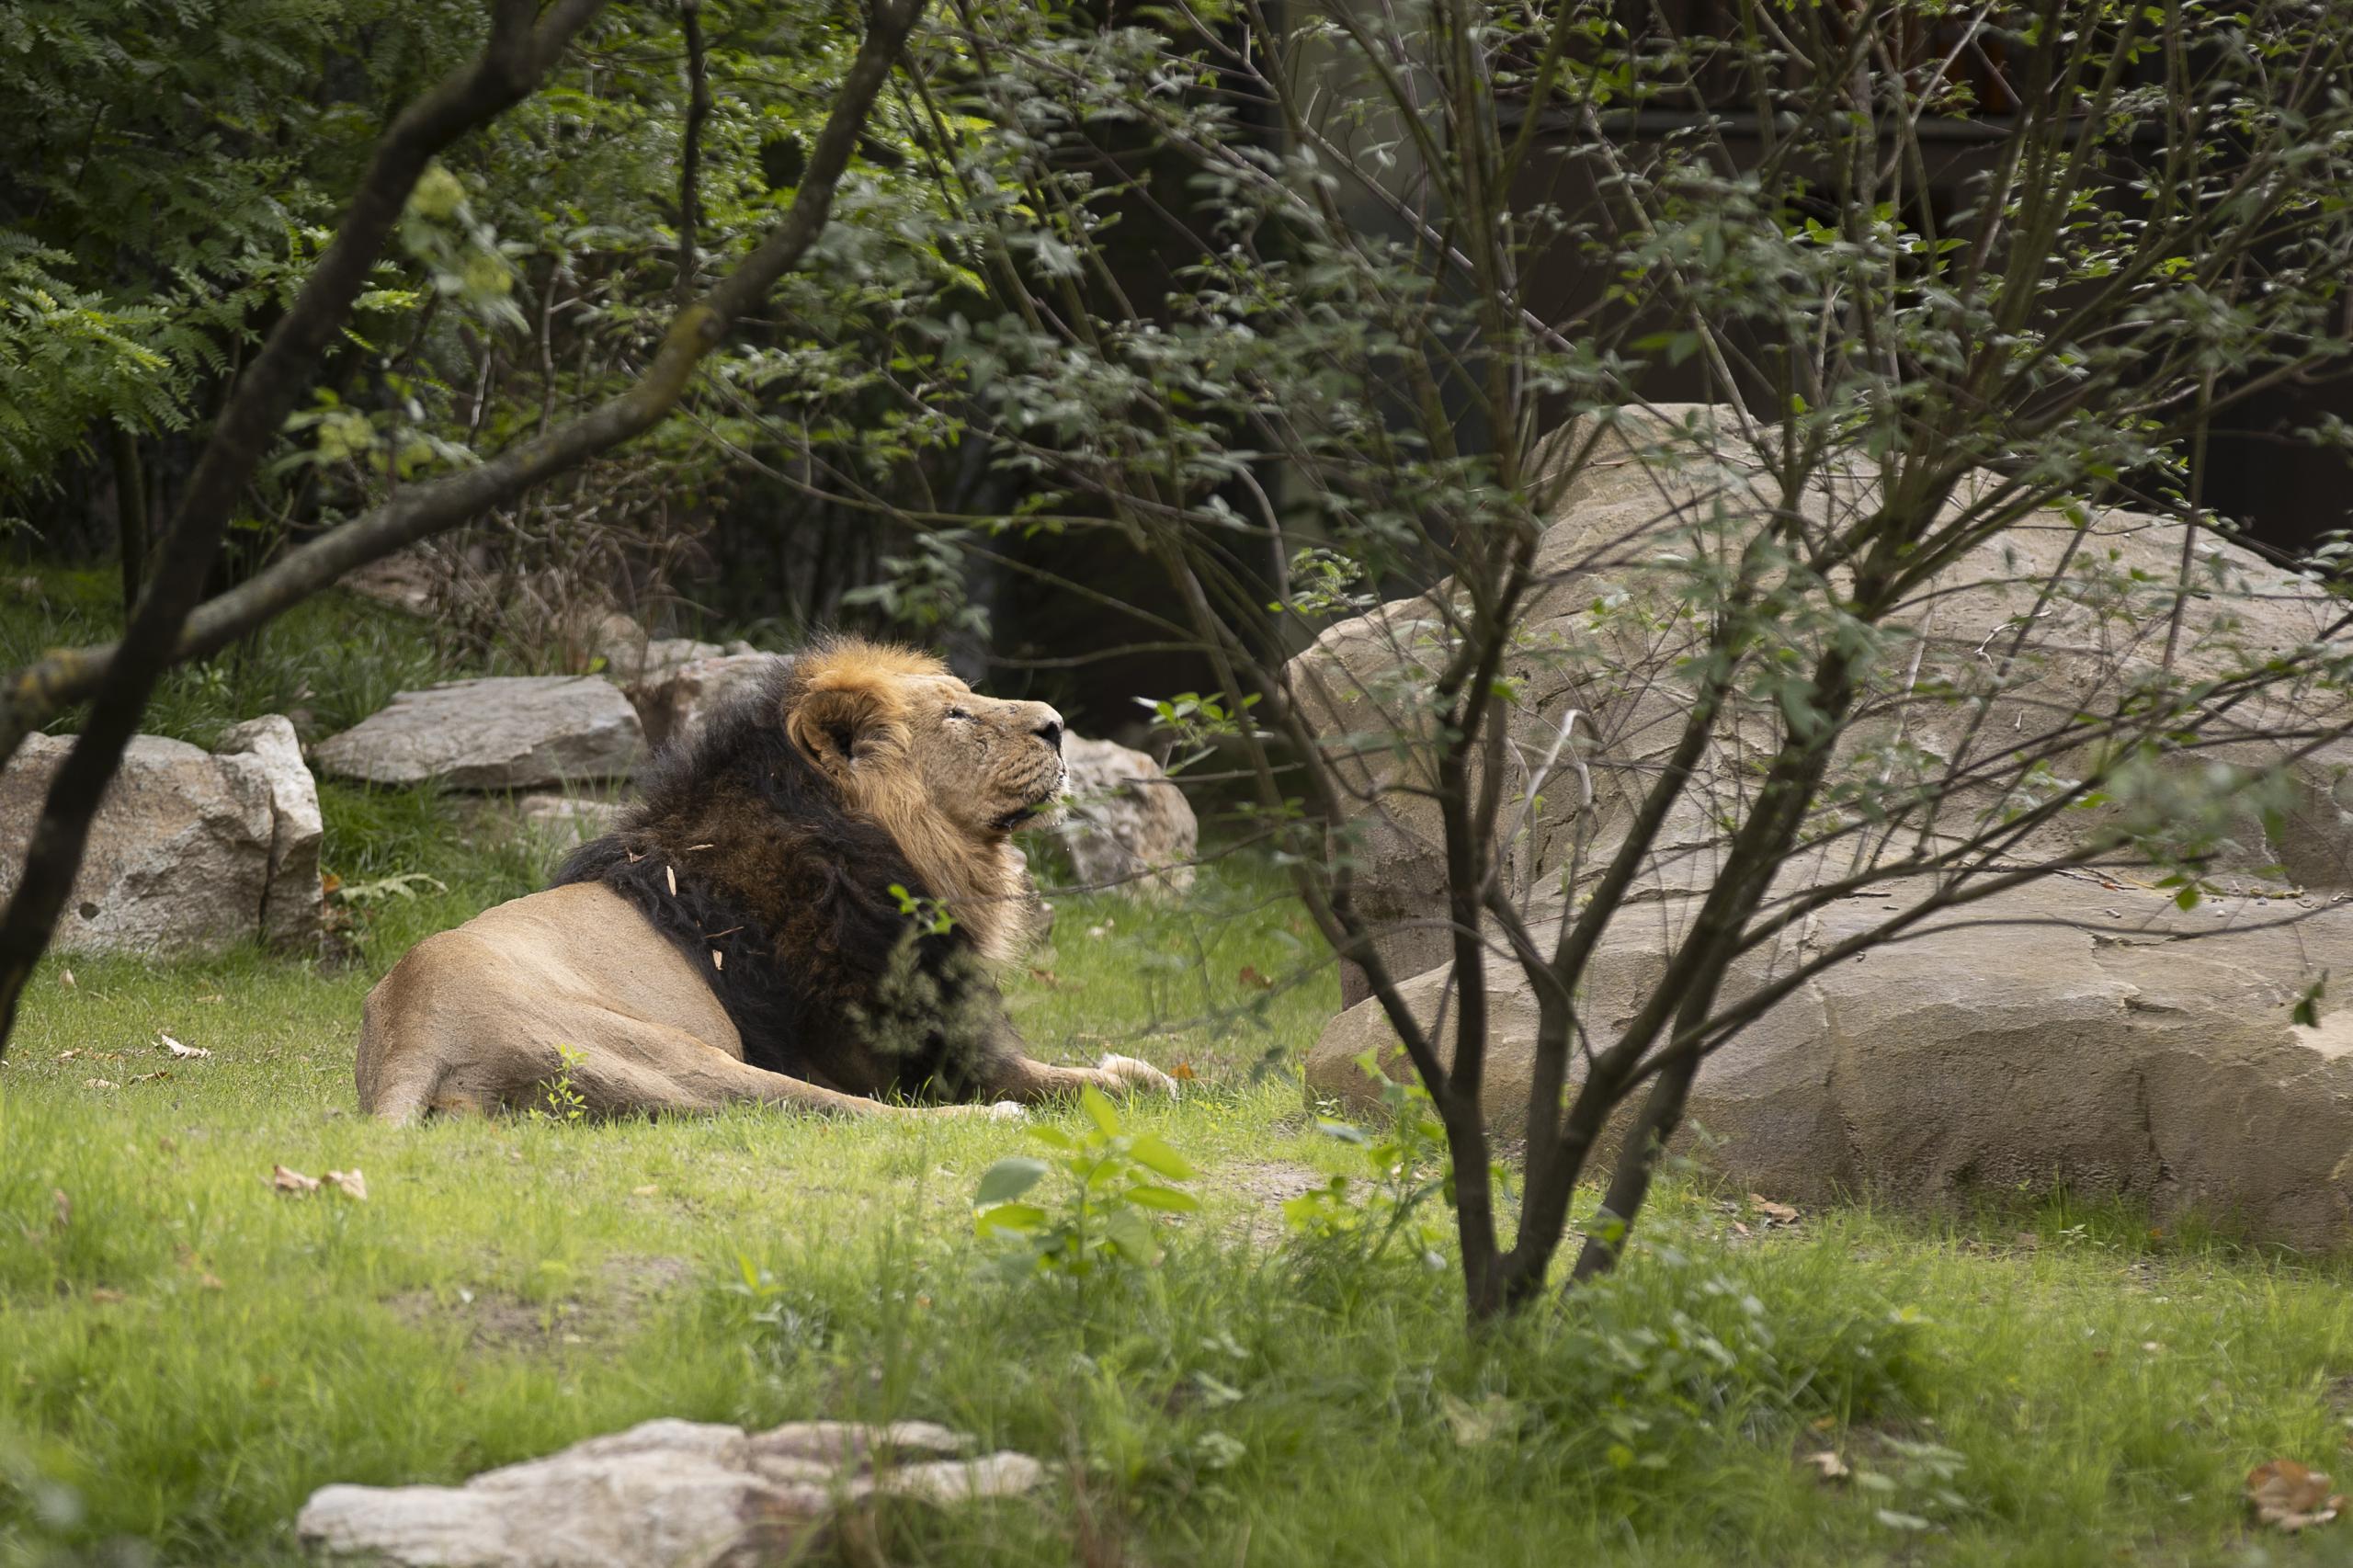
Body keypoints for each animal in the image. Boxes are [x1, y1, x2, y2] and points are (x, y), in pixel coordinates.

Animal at [353, 640, 1176, 1125]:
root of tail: (412, 1034)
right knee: (850, 1114)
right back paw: (984, 1123)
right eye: (956, 714)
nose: (1057, 725)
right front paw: (1145, 1077)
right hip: (685, 1058)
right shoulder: (919, 1051)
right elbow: (1072, 1079)